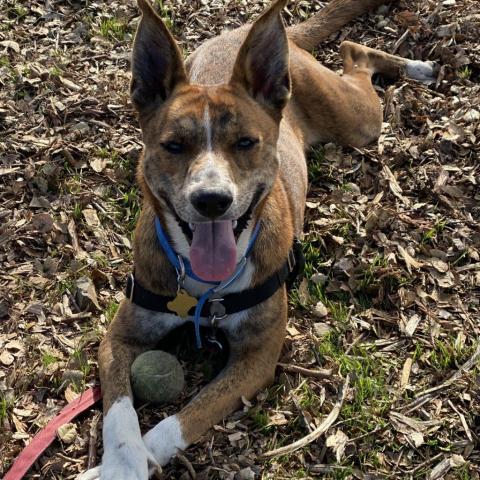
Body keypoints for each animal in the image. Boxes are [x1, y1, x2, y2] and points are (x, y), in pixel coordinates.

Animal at [78, 1, 436, 478]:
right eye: (173, 146)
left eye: (246, 142)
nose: (212, 199)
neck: (206, 290)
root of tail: (247, 31)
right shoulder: (120, 336)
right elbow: (119, 414)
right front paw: (119, 464)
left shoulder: (256, 360)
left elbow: (183, 419)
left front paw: (127, 463)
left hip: (357, 121)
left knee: (355, 53)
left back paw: (417, 66)